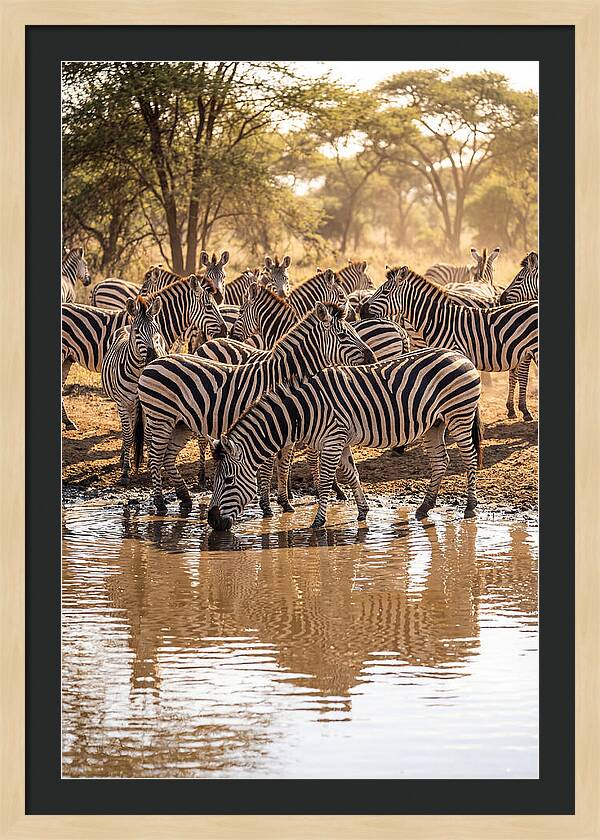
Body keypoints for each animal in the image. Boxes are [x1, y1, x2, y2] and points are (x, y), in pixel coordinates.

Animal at [101, 296, 168, 484]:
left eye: (156, 330)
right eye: (137, 332)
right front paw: (125, 471)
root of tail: (125, 326)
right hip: (124, 404)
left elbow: (149, 436)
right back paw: (124, 456)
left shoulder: (150, 406)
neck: (139, 373)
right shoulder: (123, 403)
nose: (154, 358)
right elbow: (128, 435)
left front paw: (152, 464)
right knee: (127, 431)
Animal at [133, 303, 376, 513]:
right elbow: (268, 467)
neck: (283, 376)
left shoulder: (288, 427)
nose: (372, 357)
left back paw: (184, 498)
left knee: (167, 458)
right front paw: (267, 506)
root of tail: (153, 363)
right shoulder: (269, 424)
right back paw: (160, 503)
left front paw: (285, 503)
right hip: (161, 418)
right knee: (155, 457)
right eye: (343, 335)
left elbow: (284, 465)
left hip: (181, 424)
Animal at [206, 347, 483, 530]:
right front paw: (362, 511)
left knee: (469, 458)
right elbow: (352, 475)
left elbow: (326, 482)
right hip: (434, 424)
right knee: (440, 461)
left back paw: (470, 506)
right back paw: (425, 506)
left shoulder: (333, 440)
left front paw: (318, 522)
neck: (304, 410)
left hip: (459, 414)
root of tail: (460, 356)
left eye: (228, 480)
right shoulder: (339, 441)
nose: (212, 521)